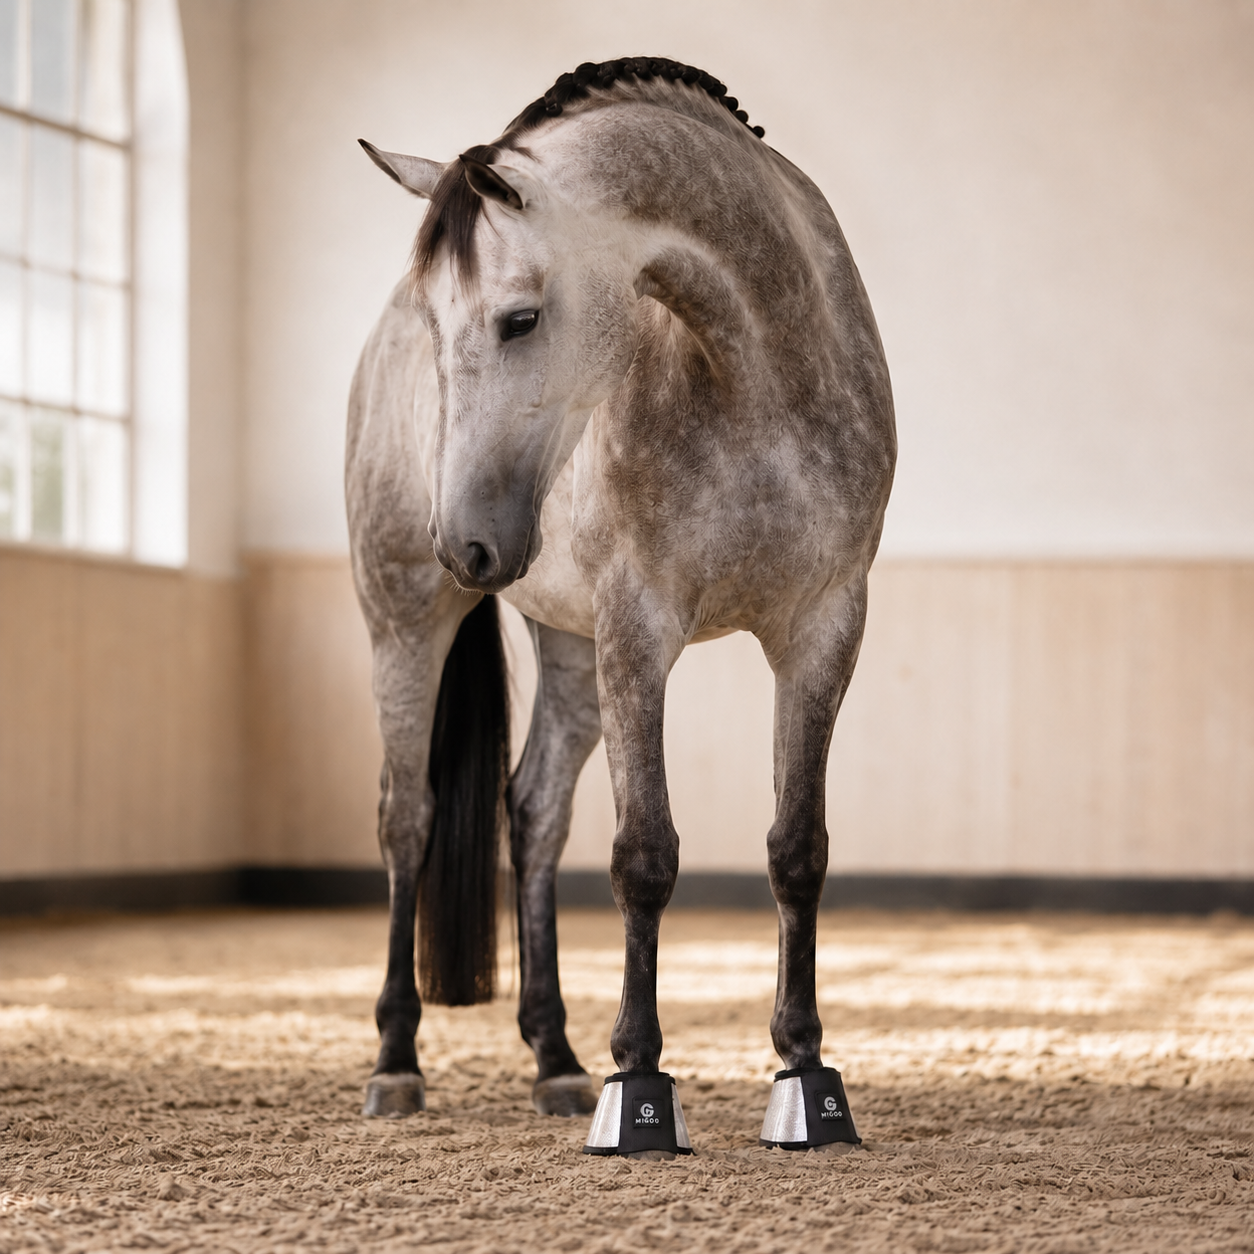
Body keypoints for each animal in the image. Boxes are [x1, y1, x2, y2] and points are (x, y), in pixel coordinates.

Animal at [347, 57, 895, 1155]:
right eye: (438, 327)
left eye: (519, 318)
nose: (465, 542)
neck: (756, 371)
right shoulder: (641, 631)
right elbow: (644, 854)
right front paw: (638, 1084)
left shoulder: (823, 628)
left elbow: (798, 849)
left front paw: (805, 1071)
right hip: (407, 623)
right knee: (407, 818)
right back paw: (397, 1060)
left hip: (568, 647)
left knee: (534, 814)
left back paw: (553, 1056)